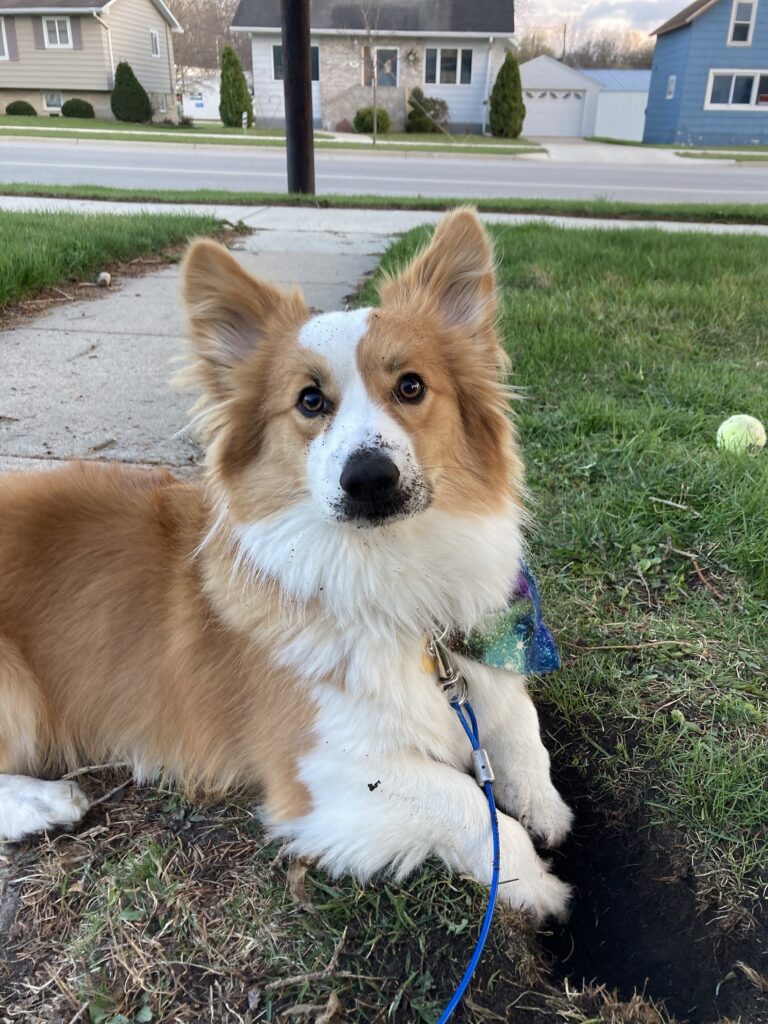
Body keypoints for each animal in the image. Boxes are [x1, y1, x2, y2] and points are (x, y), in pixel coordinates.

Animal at [0, 207, 573, 921]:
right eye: (309, 401)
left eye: (411, 386)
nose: (370, 478)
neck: (384, 570)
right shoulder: (322, 768)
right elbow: (466, 801)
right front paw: (536, 882)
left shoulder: (478, 661)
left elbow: (520, 726)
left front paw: (546, 806)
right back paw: (44, 801)